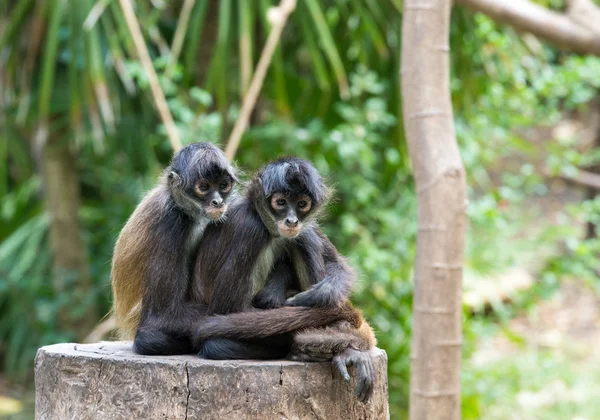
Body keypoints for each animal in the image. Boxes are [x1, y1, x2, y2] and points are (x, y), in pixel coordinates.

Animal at [110, 143, 239, 352]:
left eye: (223, 185)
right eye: (204, 187)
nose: (218, 202)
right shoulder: (171, 223)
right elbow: (161, 315)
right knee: (149, 338)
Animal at [191, 158, 380, 404]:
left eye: (301, 204)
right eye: (280, 202)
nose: (292, 220)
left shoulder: (304, 224)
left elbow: (340, 266)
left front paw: (320, 295)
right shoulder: (251, 228)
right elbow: (225, 310)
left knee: (304, 236)